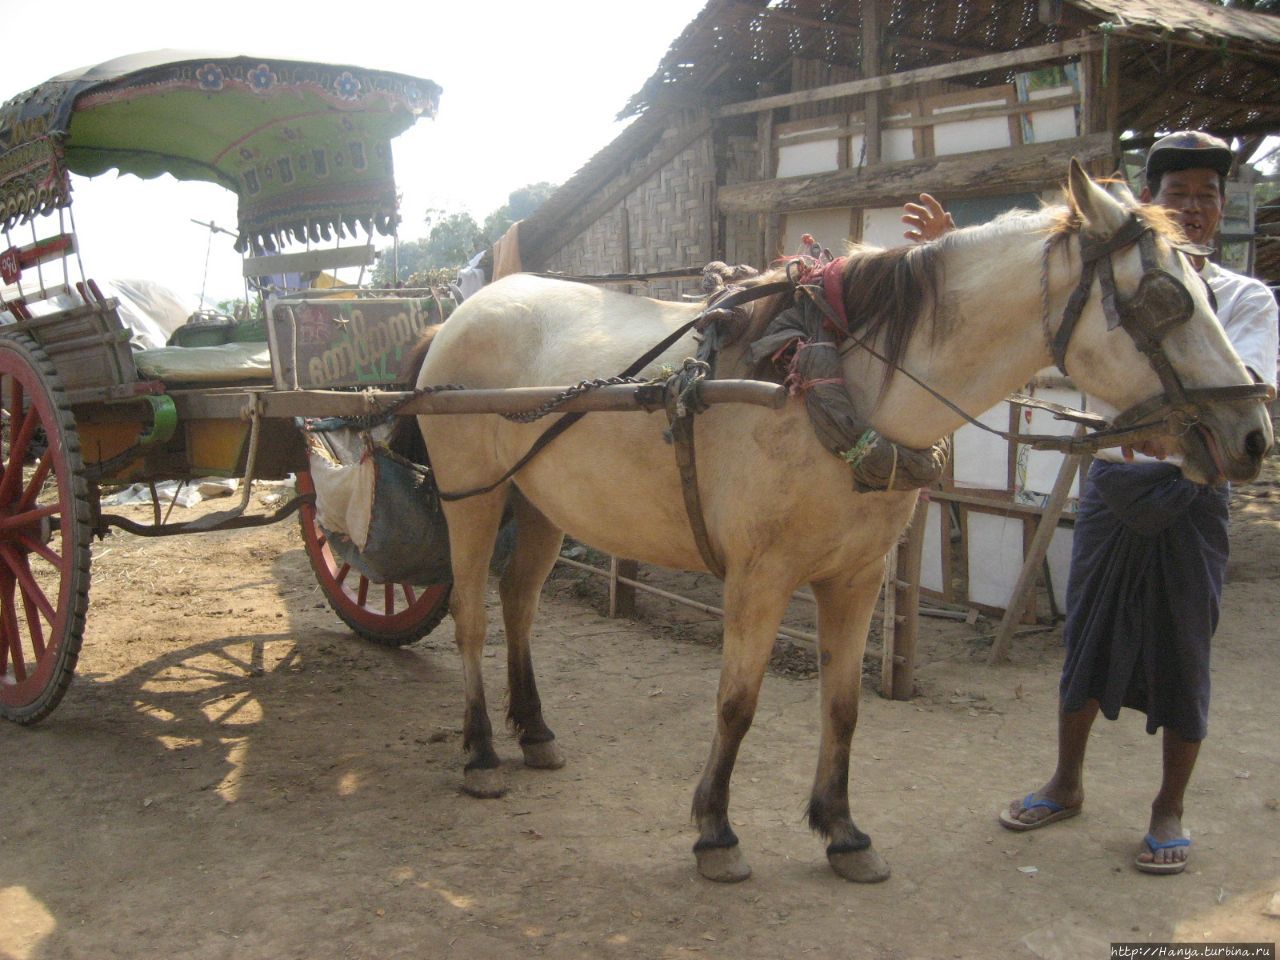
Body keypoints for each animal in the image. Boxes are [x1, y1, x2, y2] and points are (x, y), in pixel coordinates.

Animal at [412, 160, 1269, 885]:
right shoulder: (760, 578)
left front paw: (843, 831)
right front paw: (716, 832)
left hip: (539, 502)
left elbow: (845, 704)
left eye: (1208, 287)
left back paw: (534, 733)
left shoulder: (858, 577)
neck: (839, 385)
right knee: (471, 617)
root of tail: (460, 314)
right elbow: (738, 702)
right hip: (470, 496)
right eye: (1164, 298)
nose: (1253, 434)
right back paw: (481, 752)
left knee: (520, 604)